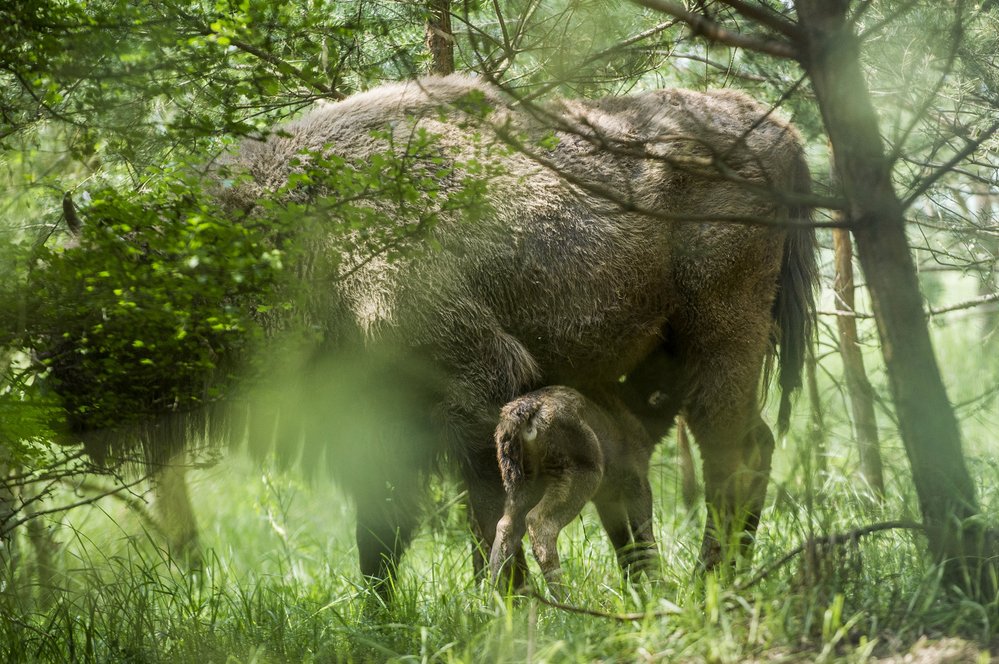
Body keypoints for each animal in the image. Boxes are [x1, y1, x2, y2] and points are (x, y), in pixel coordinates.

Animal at [490, 384, 668, 596]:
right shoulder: (637, 477)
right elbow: (644, 540)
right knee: (539, 523)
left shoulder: (607, 498)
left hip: (523, 482)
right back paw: (564, 598)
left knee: (505, 526)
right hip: (580, 472)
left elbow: (624, 548)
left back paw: (492, 596)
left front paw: (633, 594)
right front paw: (661, 593)